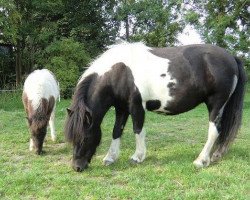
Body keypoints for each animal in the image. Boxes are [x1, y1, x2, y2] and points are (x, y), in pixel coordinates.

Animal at [64, 42, 246, 172]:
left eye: (85, 138)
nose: (77, 167)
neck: (119, 72)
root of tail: (231, 56)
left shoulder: (136, 106)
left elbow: (138, 130)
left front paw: (137, 157)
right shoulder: (121, 108)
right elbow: (116, 131)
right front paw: (110, 158)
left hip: (216, 103)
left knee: (214, 131)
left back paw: (201, 160)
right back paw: (215, 155)